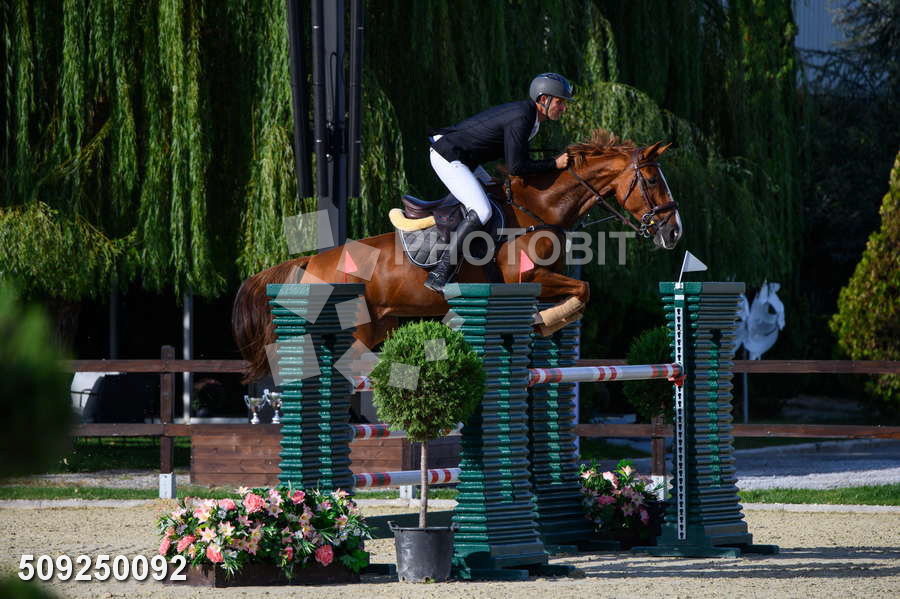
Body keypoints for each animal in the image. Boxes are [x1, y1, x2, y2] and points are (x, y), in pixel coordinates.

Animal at [233, 129, 681, 381]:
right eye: (652, 180)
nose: (674, 232)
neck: (539, 210)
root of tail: (313, 261)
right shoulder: (528, 279)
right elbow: (584, 290)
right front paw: (547, 320)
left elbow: (580, 293)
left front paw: (544, 320)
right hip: (355, 329)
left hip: (379, 324)